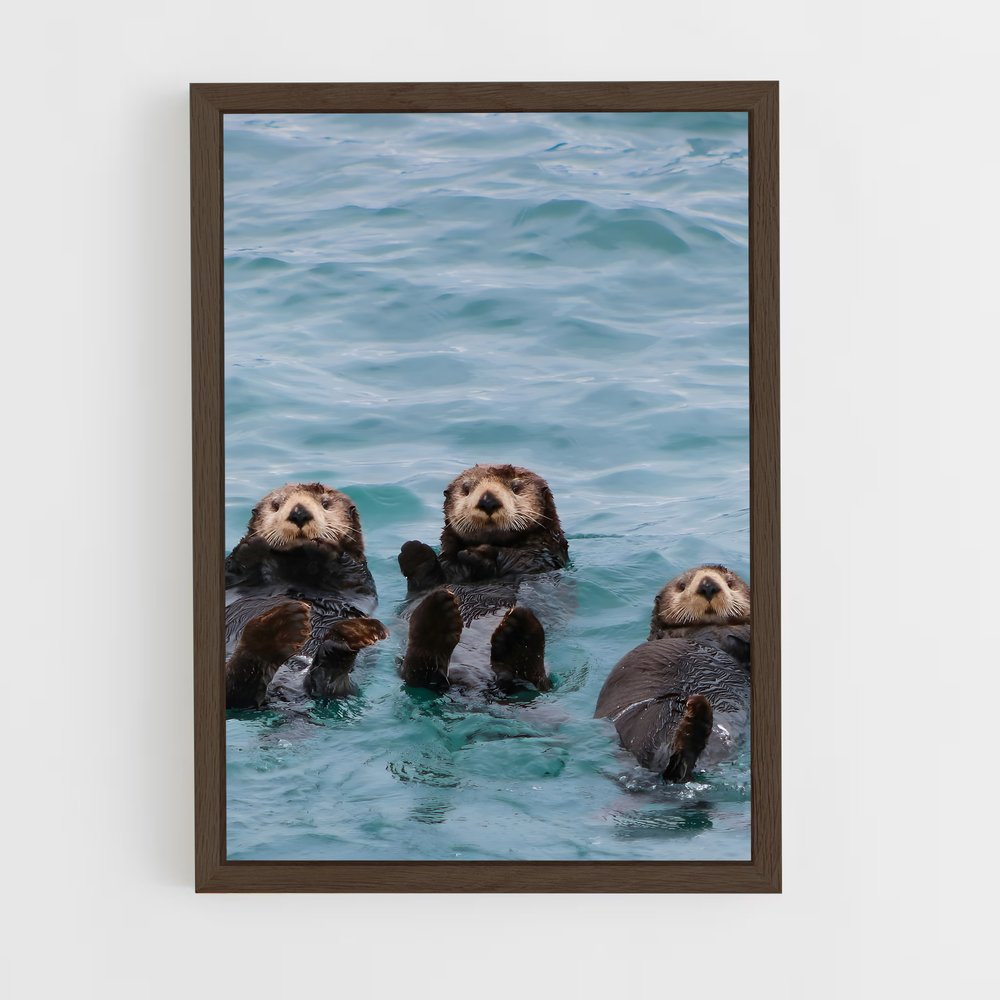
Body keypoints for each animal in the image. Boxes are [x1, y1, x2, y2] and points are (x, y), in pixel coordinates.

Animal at [224, 482, 388, 709]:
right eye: (276, 504)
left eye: (325, 503)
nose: (299, 513)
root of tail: (284, 689)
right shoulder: (233, 581)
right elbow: (234, 570)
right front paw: (254, 544)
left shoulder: (359, 581)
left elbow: (349, 571)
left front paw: (321, 547)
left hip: (346, 687)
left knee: (326, 685)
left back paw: (348, 636)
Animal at [396, 464, 569, 694]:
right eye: (466, 488)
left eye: (516, 487)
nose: (488, 500)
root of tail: (472, 680)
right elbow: (427, 579)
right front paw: (414, 551)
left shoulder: (540, 559)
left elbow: (516, 558)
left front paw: (478, 554)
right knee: (417, 674)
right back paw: (437, 616)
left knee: (536, 682)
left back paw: (518, 633)